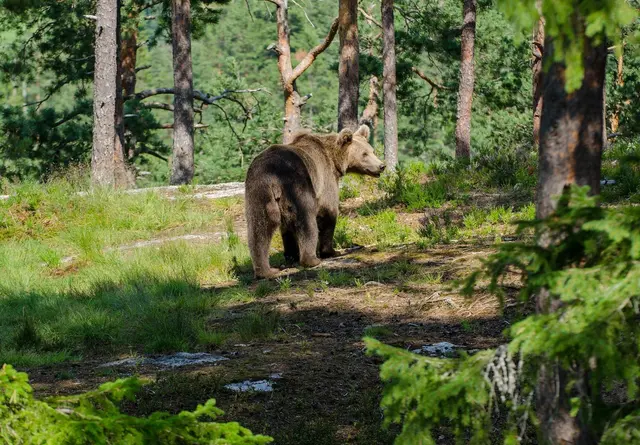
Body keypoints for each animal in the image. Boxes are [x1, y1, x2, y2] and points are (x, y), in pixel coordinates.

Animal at [245, 124, 385, 279]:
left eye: (372, 151)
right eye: (364, 154)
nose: (381, 166)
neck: (334, 160)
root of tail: (272, 174)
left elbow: (285, 229)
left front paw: (291, 255)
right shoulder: (326, 178)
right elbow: (328, 212)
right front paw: (332, 251)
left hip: (258, 190)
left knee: (260, 227)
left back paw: (265, 270)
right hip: (298, 184)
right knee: (306, 220)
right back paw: (311, 260)